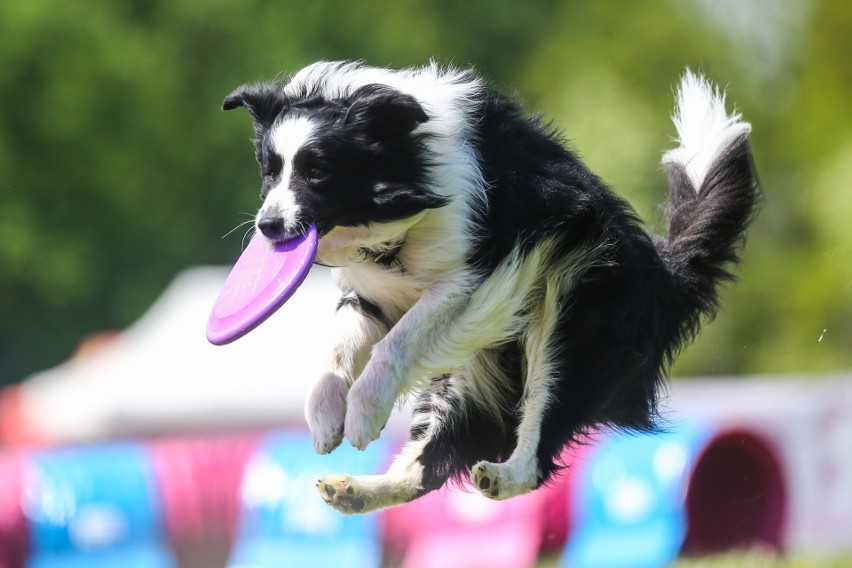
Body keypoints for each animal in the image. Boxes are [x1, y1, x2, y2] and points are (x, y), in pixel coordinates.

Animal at [223, 62, 756, 516]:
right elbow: (338, 349)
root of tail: (662, 272)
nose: (268, 227)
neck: (409, 168)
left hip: (570, 326)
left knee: (539, 431)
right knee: (432, 460)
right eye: (270, 170)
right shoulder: (373, 296)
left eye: (318, 171)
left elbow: (397, 342)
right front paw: (326, 414)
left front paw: (363, 413)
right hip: (470, 379)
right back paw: (355, 490)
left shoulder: (477, 277)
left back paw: (503, 476)